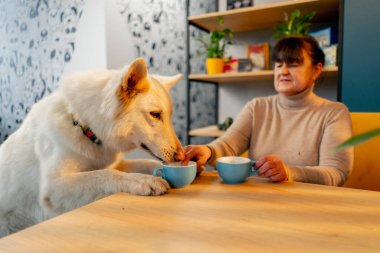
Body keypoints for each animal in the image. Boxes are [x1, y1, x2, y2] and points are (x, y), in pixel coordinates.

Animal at [0, 58, 184, 236]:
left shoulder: (115, 163)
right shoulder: (52, 187)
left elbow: (145, 163)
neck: (85, 127)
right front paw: (143, 180)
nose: (181, 156)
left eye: (169, 116)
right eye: (155, 115)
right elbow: (106, 174)